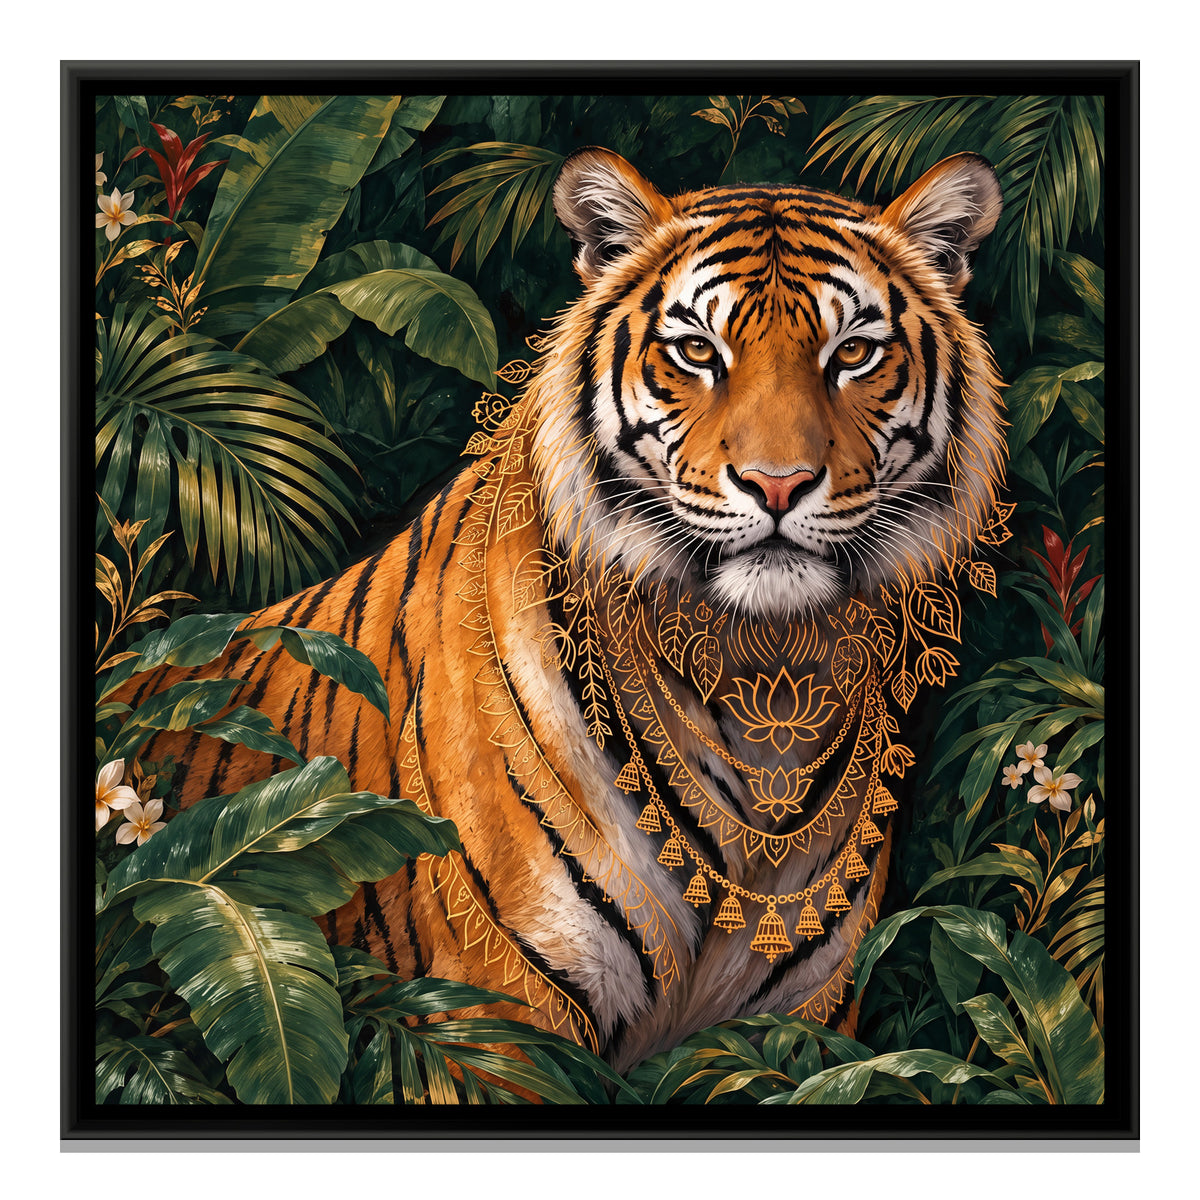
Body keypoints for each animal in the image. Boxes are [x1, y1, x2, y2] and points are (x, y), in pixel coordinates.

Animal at [120, 146, 1006, 1075]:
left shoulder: (798, 1029)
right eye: (697, 351)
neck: (760, 682)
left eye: (855, 352)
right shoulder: (495, 1018)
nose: (777, 484)